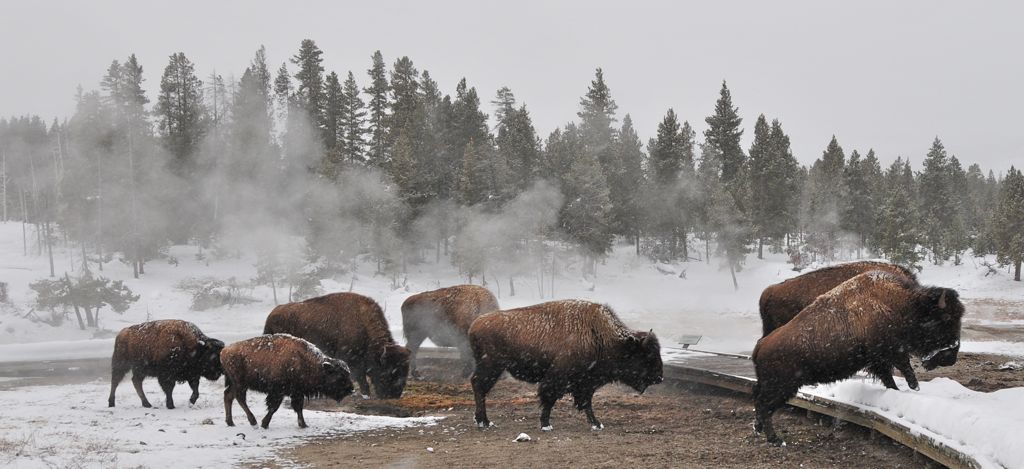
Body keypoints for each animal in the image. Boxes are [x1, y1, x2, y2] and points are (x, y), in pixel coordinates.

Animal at [221, 334, 354, 428]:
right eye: (340, 376)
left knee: (228, 396)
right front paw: (265, 424)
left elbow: (298, 407)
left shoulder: (297, 392)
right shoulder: (278, 392)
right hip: (240, 384)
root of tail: (224, 351)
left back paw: (230, 422)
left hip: (236, 383)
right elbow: (274, 407)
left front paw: (303, 425)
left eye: (348, 373)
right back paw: (253, 422)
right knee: (240, 398)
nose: (351, 389)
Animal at [264, 292, 411, 399]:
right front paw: (366, 395)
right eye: (390, 371)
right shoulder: (352, 360)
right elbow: (361, 379)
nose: (394, 395)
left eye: (405, 370)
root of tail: (271, 314)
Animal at [469, 300, 663, 431]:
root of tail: (475, 324)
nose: (659, 377)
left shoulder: (585, 383)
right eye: (647, 355)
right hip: (492, 367)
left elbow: (586, 403)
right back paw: (484, 421)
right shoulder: (558, 378)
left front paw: (596, 424)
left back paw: (483, 421)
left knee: (479, 387)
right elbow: (550, 399)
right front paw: (546, 424)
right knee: (479, 386)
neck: (602, 337)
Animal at [752, 271, 963, 446]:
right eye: (946, 318)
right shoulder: (888, 352)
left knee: (759, 400)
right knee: (764, 405)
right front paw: (914, 386)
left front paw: (897, 390)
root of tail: (761, 345)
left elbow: (889, 377)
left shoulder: (879, 359)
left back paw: (759, 429)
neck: (902, 303)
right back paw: (775, 439)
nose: (952, 354)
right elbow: (902, 367)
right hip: (781, 387)